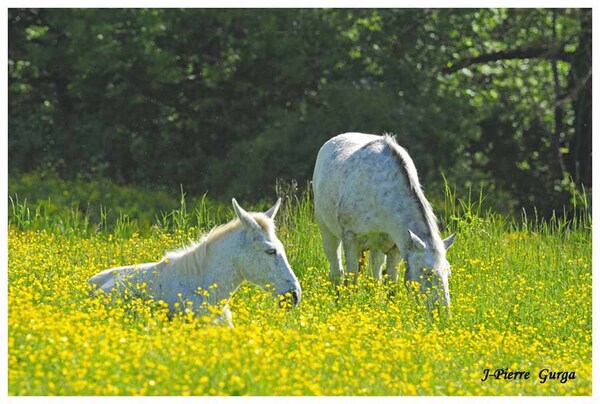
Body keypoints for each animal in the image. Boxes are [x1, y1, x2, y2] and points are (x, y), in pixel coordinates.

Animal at [314, 133, 454, 310]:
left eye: (448, 272)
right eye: (427, 272)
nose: (443, 312)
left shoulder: (396, 248)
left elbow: (390, 283)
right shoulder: (351, 239)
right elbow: (351, 279)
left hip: (376, 247)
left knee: (374, 274)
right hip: (328, 232)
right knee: (337, 271)